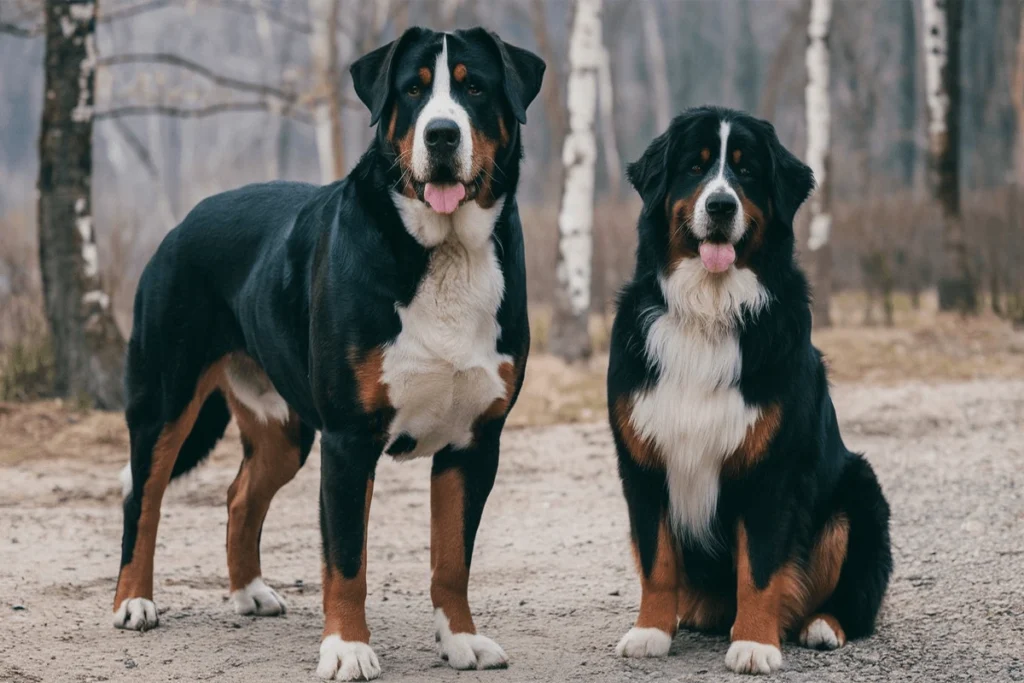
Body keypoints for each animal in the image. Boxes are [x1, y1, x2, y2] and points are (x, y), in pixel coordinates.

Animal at [111, 25, 544, 679]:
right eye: (413, 90)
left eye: (474, 88)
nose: (442, 134)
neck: (442, 253)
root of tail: (185, 220)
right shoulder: (349, 439)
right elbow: (346, 560)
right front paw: (347, 648)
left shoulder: (473, 444)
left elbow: (452, 560)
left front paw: (462, 640)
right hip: (166, 400)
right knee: (144, 497)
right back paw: (134, 602)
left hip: (284, 429)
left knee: (240, 497)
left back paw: (248, 593)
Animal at [606, 109, 888, 675]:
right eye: (695, 167)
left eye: (747, 170)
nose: (720, 205)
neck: (709, 311)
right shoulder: (642, 464)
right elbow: (656, 558)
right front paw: (650, 631)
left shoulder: (770, 469)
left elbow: (759, 567)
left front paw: (756, 643)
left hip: (859, 493)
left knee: (854, 598)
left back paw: (822, 625)